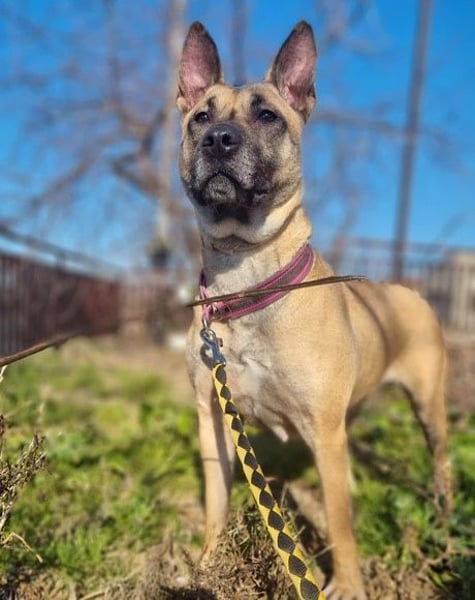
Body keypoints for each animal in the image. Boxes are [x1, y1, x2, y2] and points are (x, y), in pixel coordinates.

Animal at [177, 21, 452, 600]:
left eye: (268, 116)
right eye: (200, 117)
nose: (219, 140)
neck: (246, 281)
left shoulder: (323, 430)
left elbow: (341, 522)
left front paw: (346, 584)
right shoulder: (213, 416)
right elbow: (216, 502)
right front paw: (208, 567)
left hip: (428, 407)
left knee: (441, 462)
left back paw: (444, 512)